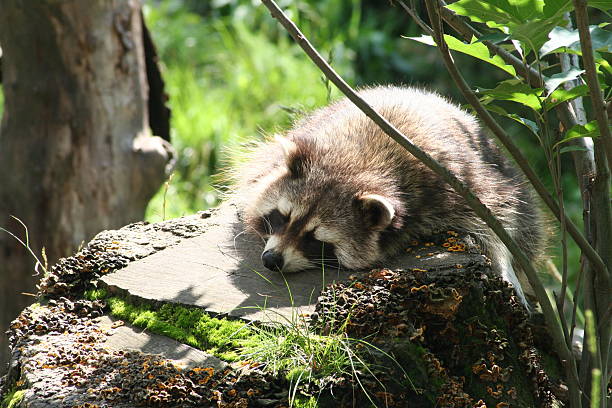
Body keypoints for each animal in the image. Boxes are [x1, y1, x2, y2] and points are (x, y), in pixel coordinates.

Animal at [232, 87, 544, 310]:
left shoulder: (461, 185)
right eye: (282, 217)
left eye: (314, 239)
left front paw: (505, 266)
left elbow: (500, 221)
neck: (357, 166)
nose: (271, 260)